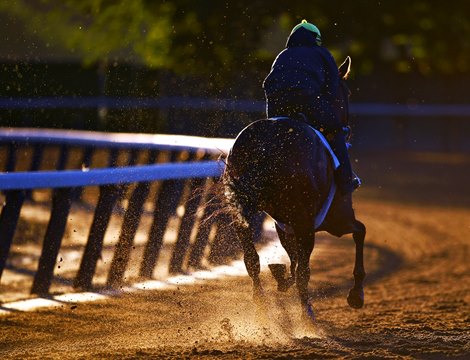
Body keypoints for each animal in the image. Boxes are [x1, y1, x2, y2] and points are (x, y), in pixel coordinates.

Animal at [222, 57, 366, 324]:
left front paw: (279, 276)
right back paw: (307, 314)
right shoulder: (335, 221)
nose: (347, 128)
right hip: (306, 223)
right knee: (303, 272)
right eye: (347, 91)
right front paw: (356, 294)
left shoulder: (285, 226)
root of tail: (267, 143)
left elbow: (292, 260)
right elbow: (359, 232)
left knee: (251, 259)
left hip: (243, 215)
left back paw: (262, 306)